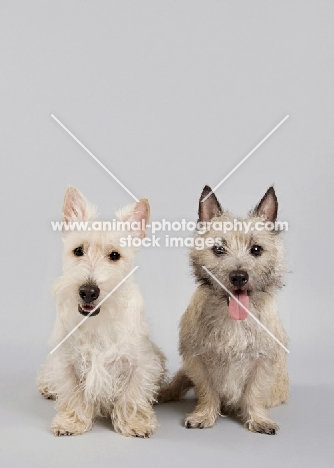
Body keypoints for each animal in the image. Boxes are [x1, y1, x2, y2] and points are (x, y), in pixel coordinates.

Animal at [37, 188, 166, 436]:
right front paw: (72, 422)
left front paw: (135, 423)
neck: (98, 322)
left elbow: (132, 395)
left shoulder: (140, 362)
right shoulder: (67, 362)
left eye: (115, 255)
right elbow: (73, 394)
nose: (88, 292)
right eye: (78, 250)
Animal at [159, 186, 288, 436]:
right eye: (218, 249)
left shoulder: (263, 362)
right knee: (178, 383)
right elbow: (207, 390)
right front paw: (204, 415)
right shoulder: (197, 360)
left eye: (256, 249)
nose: (238, 276)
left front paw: (258, 419)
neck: (233, 320)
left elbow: (254, 393)